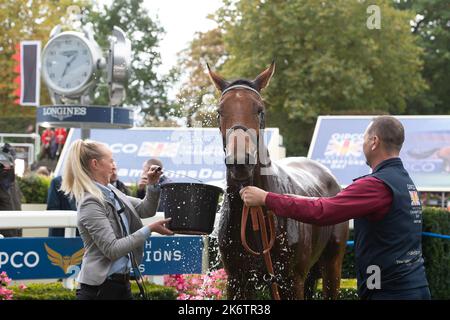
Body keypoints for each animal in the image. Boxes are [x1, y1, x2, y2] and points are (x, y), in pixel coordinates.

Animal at [209, 62, 350, 300]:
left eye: (260, 110)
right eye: (220, 112)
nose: (240, 162)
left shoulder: (291, 281)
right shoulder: (237, 281)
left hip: (332, 265)